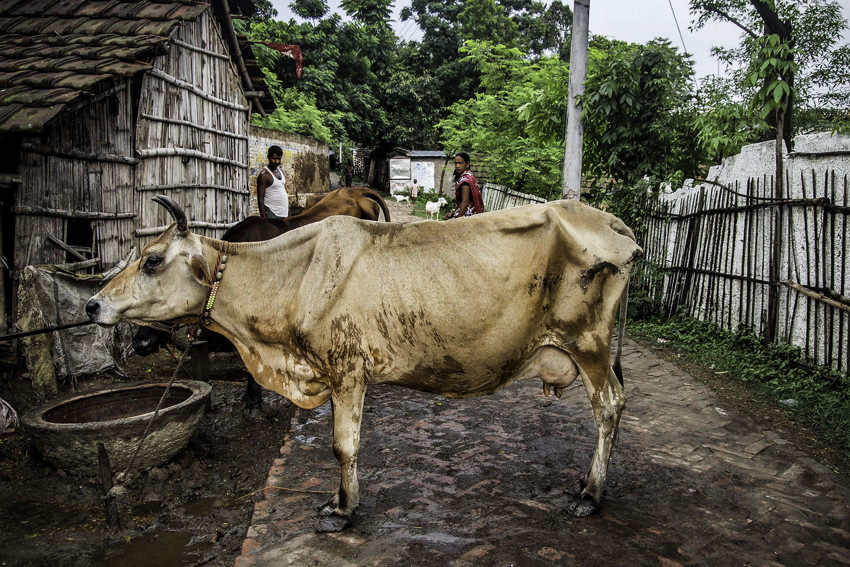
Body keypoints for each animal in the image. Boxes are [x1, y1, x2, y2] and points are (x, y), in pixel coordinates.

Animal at [88, 195, 644, 532]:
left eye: (153, 259)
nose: (93, 304)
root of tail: (612, 222)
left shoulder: (348, 370)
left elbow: (343, 446)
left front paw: (341, 509)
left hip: (589, 346)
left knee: (610, 406)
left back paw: (591, 493)